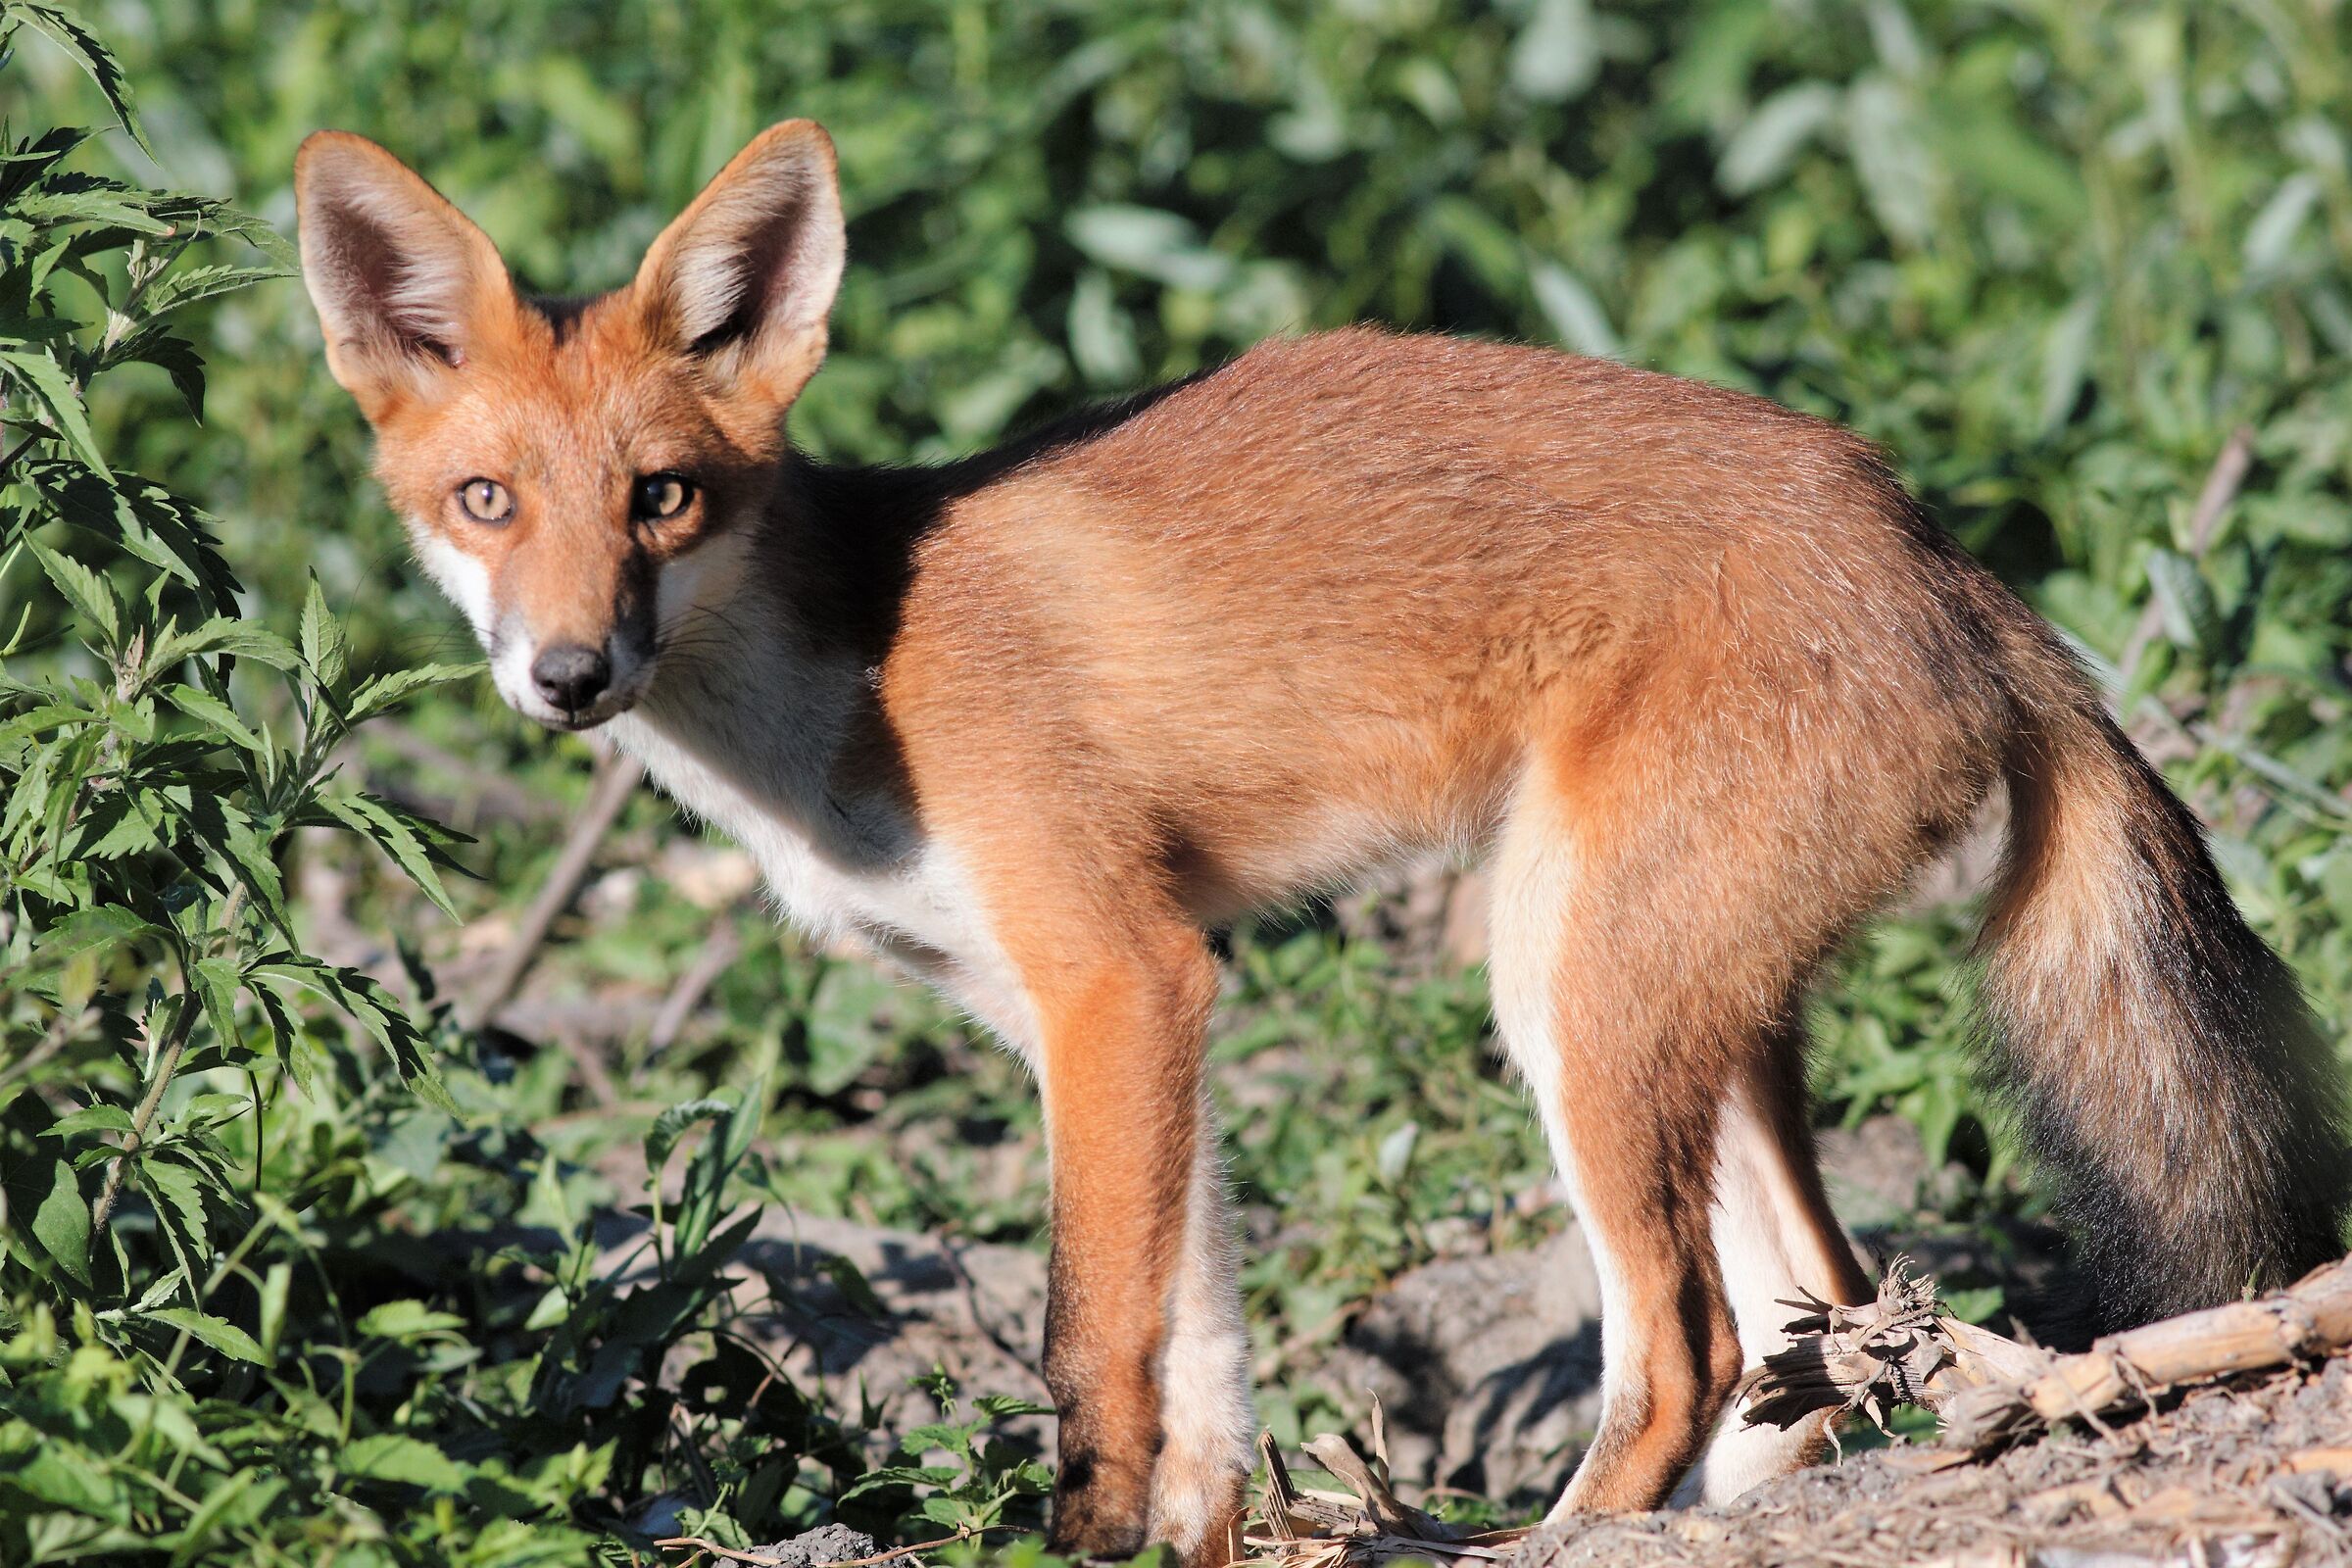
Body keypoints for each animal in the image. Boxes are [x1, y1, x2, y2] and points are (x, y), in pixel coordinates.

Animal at [294, 120, 2348, 1563]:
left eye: (662, 499)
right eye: (485, 502)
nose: (570, 673)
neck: (848, 686)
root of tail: (1953, 564)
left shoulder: (1119, 980)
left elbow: (1092, 1357)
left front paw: (1079, 1543)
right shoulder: (1116, 1014)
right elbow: (1204, 1370)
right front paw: (1190, 1545)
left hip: (1562, 989)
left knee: (1685, 1340)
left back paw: (1542, 1543)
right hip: (1672, 1004)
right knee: (1816, 1316)